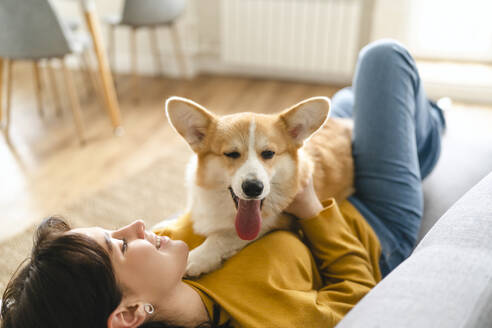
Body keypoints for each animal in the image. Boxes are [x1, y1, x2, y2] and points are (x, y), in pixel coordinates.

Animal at [165, 95, 354, 276]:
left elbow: (224, 237)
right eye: (232, 154)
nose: (253, 188)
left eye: (268, 153)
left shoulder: (276, 221)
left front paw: (197, 258)